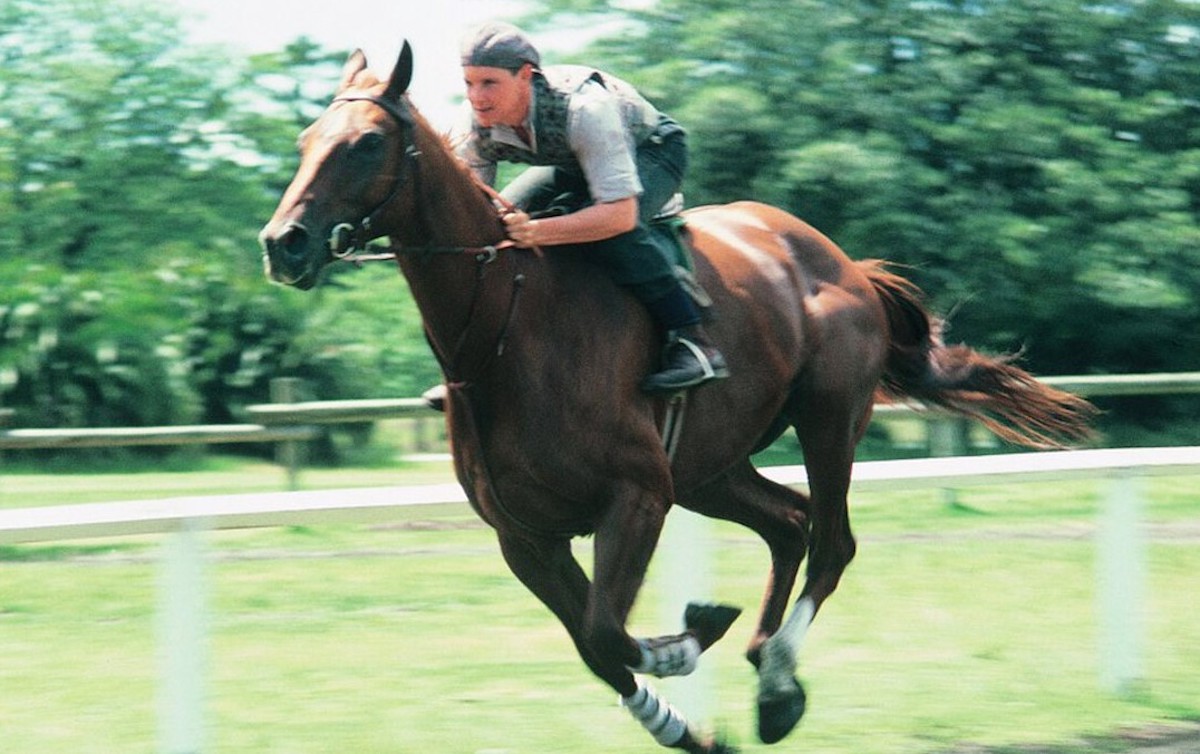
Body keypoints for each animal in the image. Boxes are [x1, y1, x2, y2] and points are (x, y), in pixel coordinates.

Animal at [260, 44, 1099, 749]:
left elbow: (605, 628)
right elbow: (593, 645)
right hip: (707, 466)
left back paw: (777, 680)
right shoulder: (525, 533)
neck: (503, 330)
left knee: (831, 541)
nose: (283, 243)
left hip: (826, 419)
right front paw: (684, 717)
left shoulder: (634, 495)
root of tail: (840, 260)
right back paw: (768, 667)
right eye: (306, 140)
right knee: (789, 523)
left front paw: (689, 639)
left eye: (366, 144)